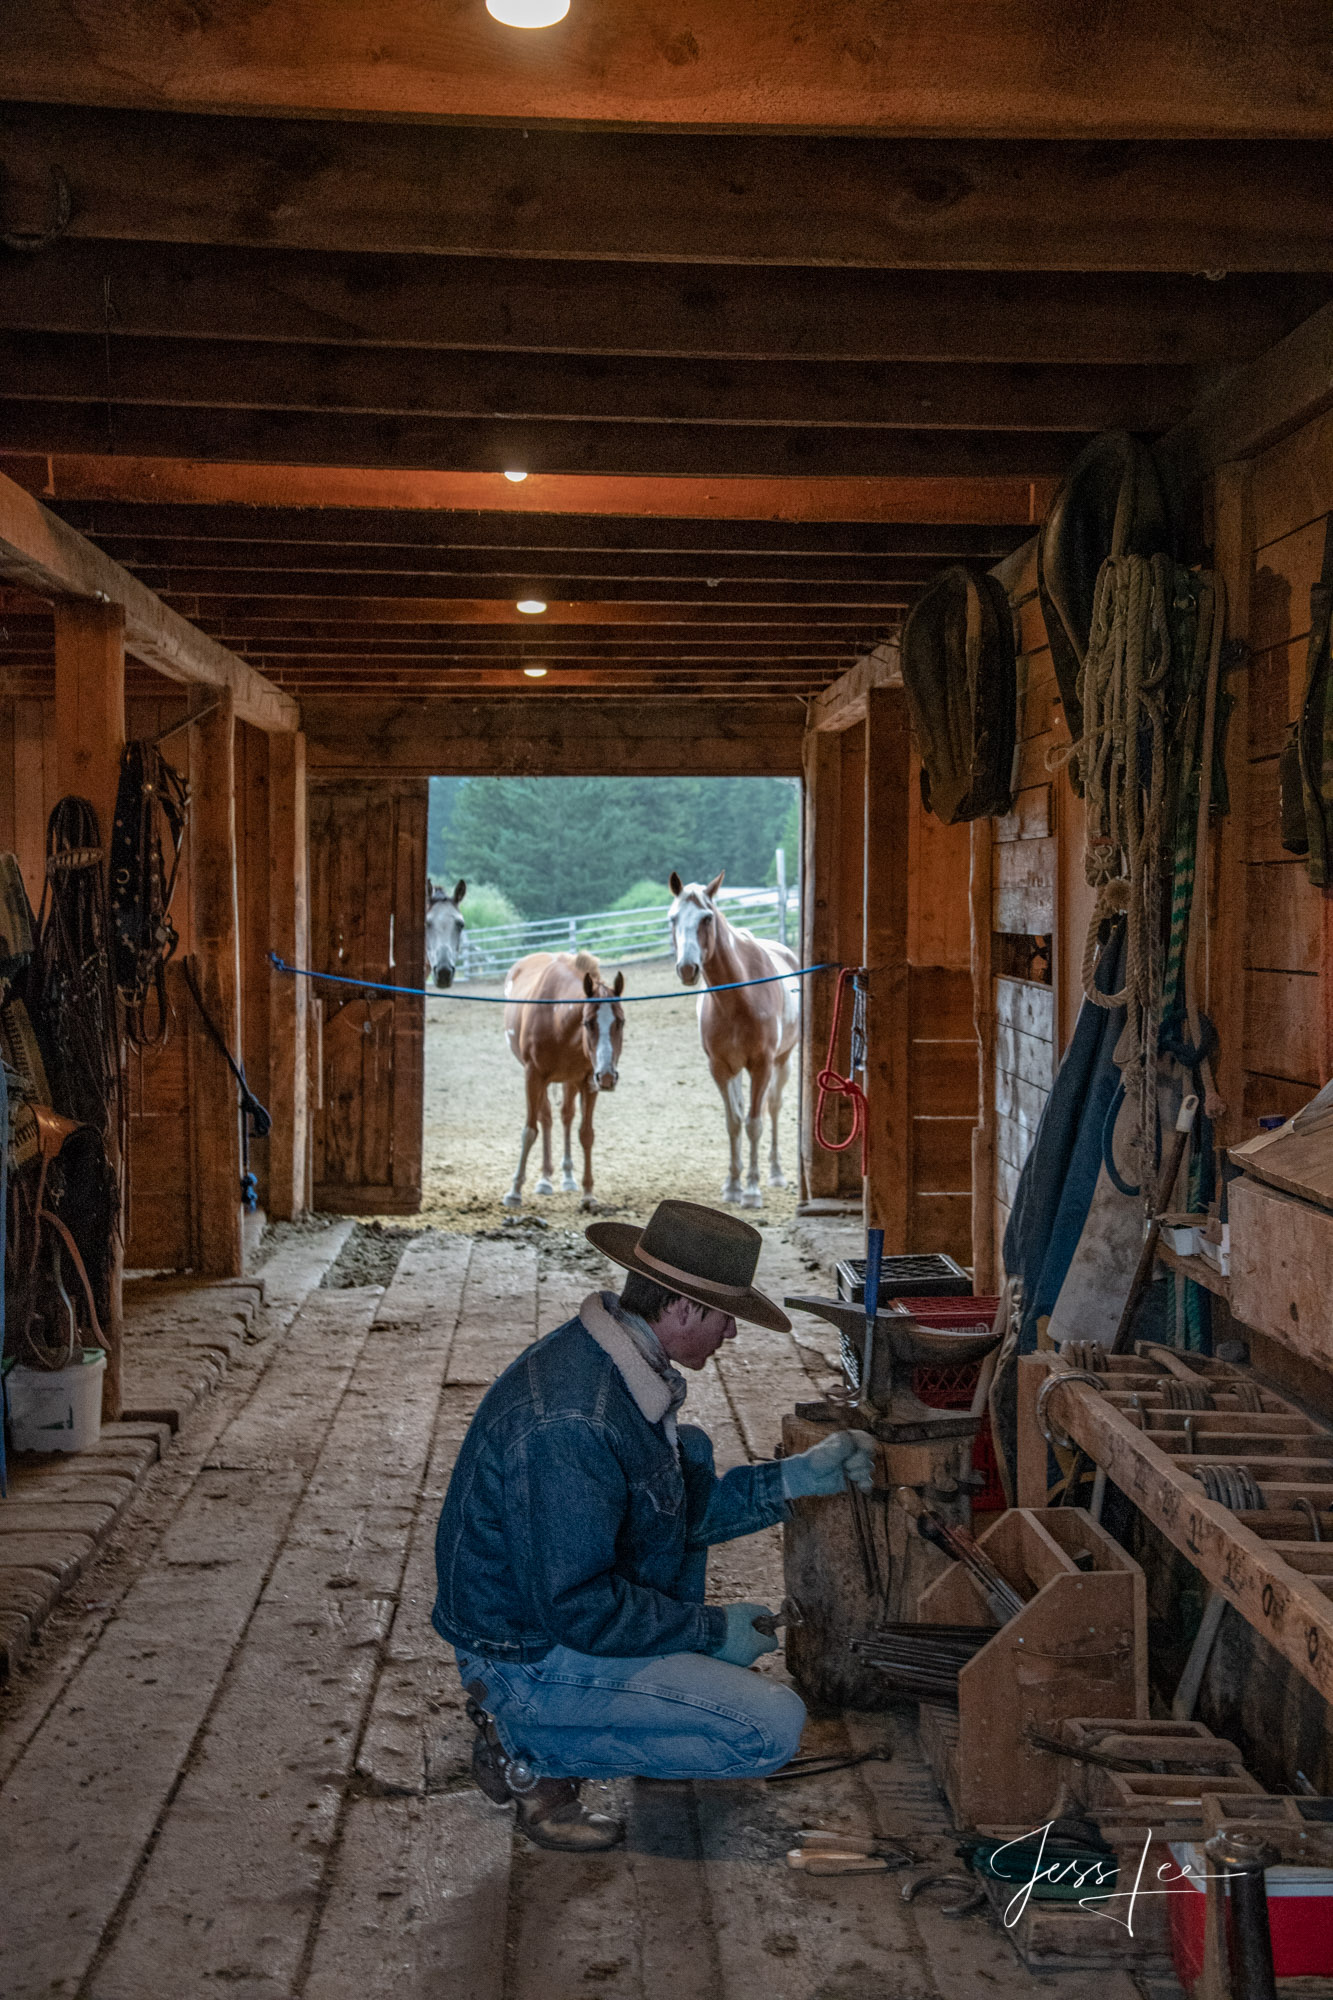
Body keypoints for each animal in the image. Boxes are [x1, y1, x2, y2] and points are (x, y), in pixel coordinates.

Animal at [500, 956, 624, 1216]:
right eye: (588, 1022)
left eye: (620, 1021)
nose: (608, 1077)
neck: (557, 1019)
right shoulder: (533, 1075)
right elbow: (530, 1131)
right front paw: (514, 1191)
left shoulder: (588, 1081)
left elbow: (586, 1134)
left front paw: (588, 1195)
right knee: (545, 1118)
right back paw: (544, 1180)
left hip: (571, 1081)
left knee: (566, 1116)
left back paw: (567, 1177)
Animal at [668, 872, 792, 1208]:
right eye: (672, 918)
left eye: (707, 917)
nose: (687, 968)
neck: (739, 996)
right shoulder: (721, 1068)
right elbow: (734, 1122)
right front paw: (733, 1185)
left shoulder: (762, 1065)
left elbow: (754, 1123)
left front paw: (752, 1190)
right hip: (737, 1070)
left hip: (783, 1061)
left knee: (773, 1107)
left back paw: (776, 1173)